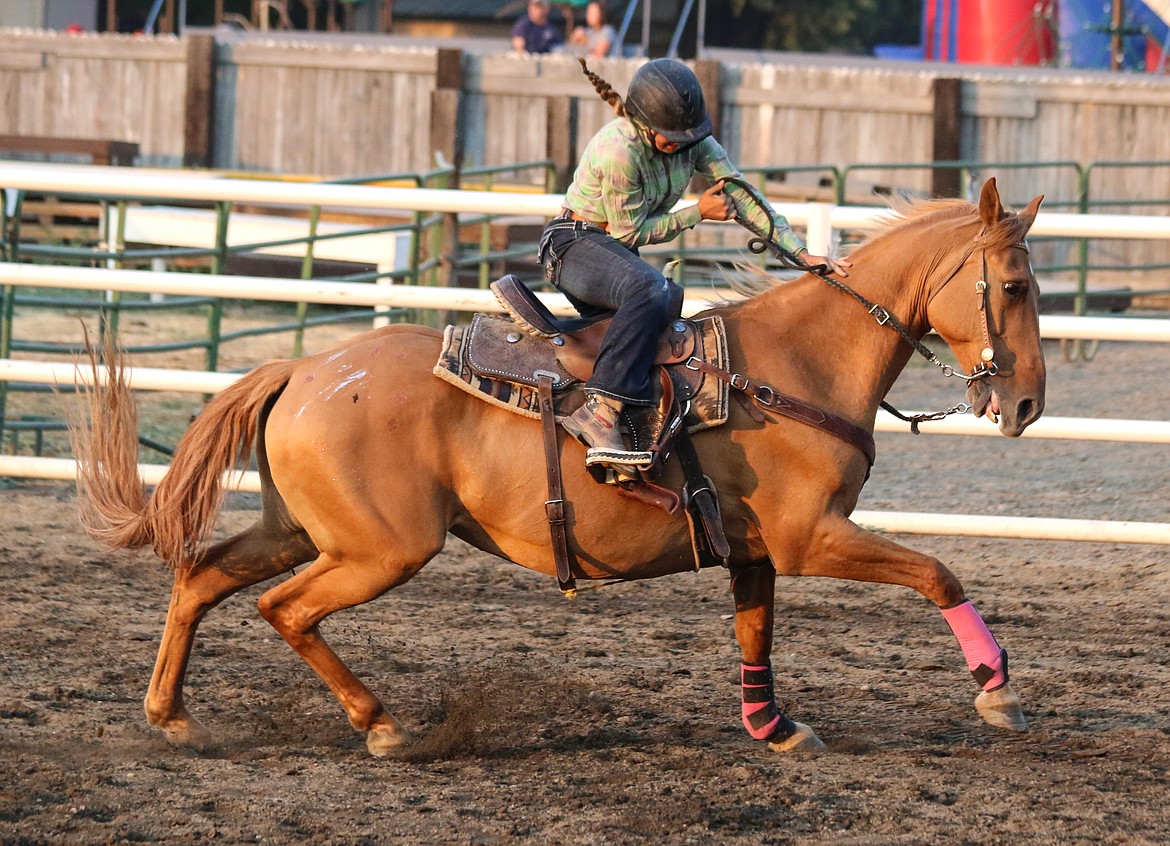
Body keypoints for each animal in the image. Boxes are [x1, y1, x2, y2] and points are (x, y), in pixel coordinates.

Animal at [70, 179, 1043, 753]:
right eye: (1016, 285)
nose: (1028, 404)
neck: (796, 362)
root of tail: (305, 370)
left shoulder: (758, 550)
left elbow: (755, 631)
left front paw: (772, 726)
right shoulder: (812, 537)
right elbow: (938, 572)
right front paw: (996, 690)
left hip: (301, 529)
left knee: (202, 577)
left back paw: (171, 715)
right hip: (379, 549)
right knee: (286, 609)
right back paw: (382, 726)